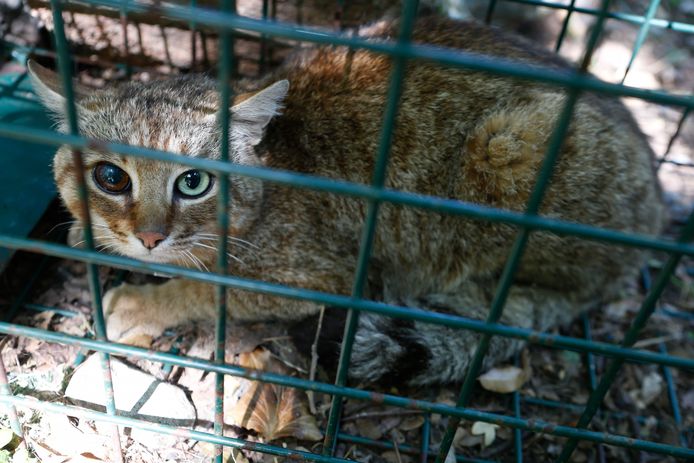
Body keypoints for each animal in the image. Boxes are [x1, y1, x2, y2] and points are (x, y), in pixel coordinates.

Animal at [29, 16, 668, 388]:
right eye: (111, 178)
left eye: (192, 184)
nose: (150, 236)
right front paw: (92, 234)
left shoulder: (320, 275)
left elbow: (208, 289)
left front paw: (145, 301)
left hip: (509, 145)